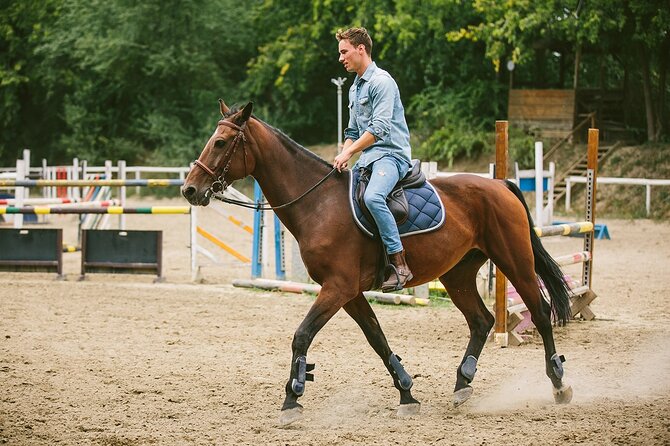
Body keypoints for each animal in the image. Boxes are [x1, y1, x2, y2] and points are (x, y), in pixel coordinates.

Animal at [182, 100, 574, 426]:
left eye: (220, 143)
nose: (189, 189)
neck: (318, 203)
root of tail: (500, 185)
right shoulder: (349, 293)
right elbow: (377, 339)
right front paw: (406, 393)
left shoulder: (337, 288)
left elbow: (302, 336)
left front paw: (292, 398)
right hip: (458, 274)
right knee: (481, 321)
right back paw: (462, 383)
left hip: (514, 259)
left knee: (540, 313)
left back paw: (558, 384)